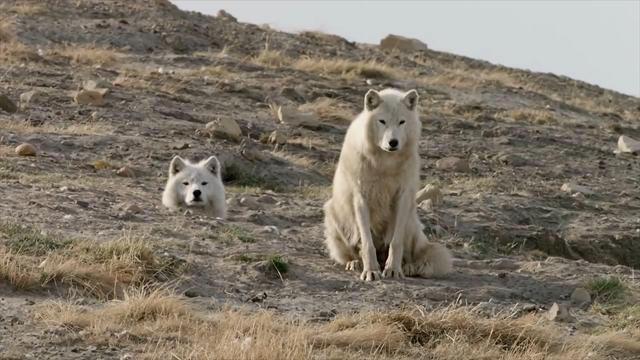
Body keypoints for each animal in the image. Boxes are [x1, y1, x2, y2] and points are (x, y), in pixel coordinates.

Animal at [322, 88, 452, 280]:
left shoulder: (402, 198)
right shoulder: (361, 199)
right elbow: (367, 243)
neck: (385, 163)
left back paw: (407, 267)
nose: (393, 142)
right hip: (334, 214)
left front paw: (393, 269)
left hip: (410, 220)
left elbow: (395, 242)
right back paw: (356, 263)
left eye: (401, 122)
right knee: (354, 252)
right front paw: (371, 271)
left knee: (409, 254)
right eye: (382, 121)